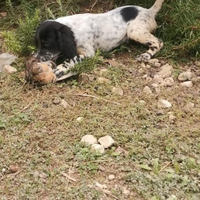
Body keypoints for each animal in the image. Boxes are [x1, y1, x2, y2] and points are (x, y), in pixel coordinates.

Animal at [35, 0, 164, 80]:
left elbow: (71, 60)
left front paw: (58, 69)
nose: (36, 60)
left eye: (46, 42)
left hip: (134, 31)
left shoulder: (89, 53)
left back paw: (146, 55)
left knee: (159, 42)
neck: (72, 29)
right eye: (37, 43)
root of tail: (149, 11)